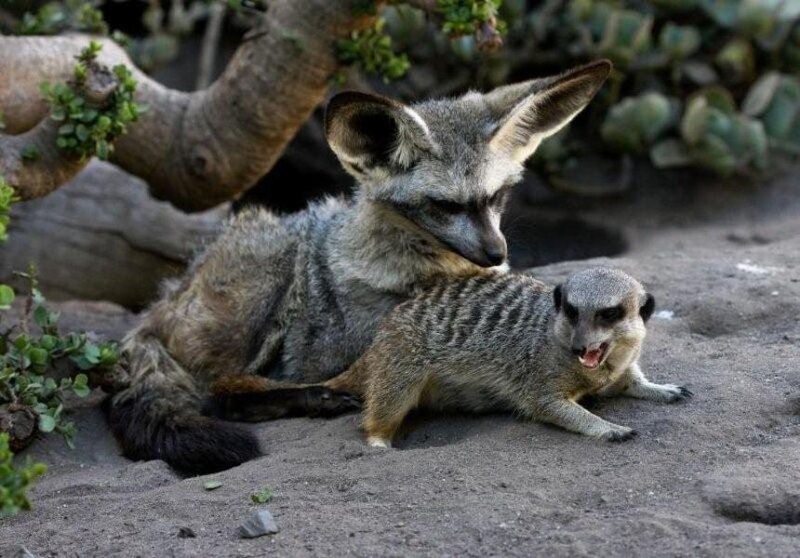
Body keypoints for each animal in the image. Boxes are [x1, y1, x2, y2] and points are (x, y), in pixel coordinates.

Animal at [106, 60, 613, 474]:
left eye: (497, 198)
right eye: (445, 206)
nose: (496, 254)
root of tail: (163, 300)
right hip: (267, 283)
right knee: (221, 393)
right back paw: (311, 398)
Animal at [221, 268, 691, 447]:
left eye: (609, 313)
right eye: (572, 311)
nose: (579, 347)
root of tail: (373, 348)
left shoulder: (619, 364)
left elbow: (631, 380)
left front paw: (662, 388)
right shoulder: (537, 373)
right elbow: (548, 405)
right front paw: (606, 427)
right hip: (401, 360)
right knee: (383, 404)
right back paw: (378, 440)